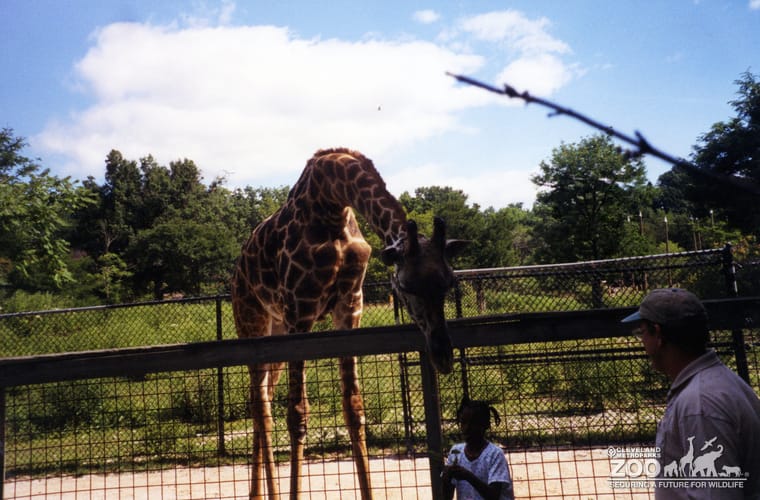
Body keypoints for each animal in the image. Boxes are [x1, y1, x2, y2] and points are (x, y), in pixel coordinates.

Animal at [231, 147, 467, 499]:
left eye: (449, 284)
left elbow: (354, 408)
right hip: (253, 322)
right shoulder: (300, 309)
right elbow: (298, 413)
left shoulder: (349, 307)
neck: (332, 204)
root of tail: (238, 271)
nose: (442, 356)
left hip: (276, 330)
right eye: (407, 286)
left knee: (263, 400)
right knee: (260, 405)